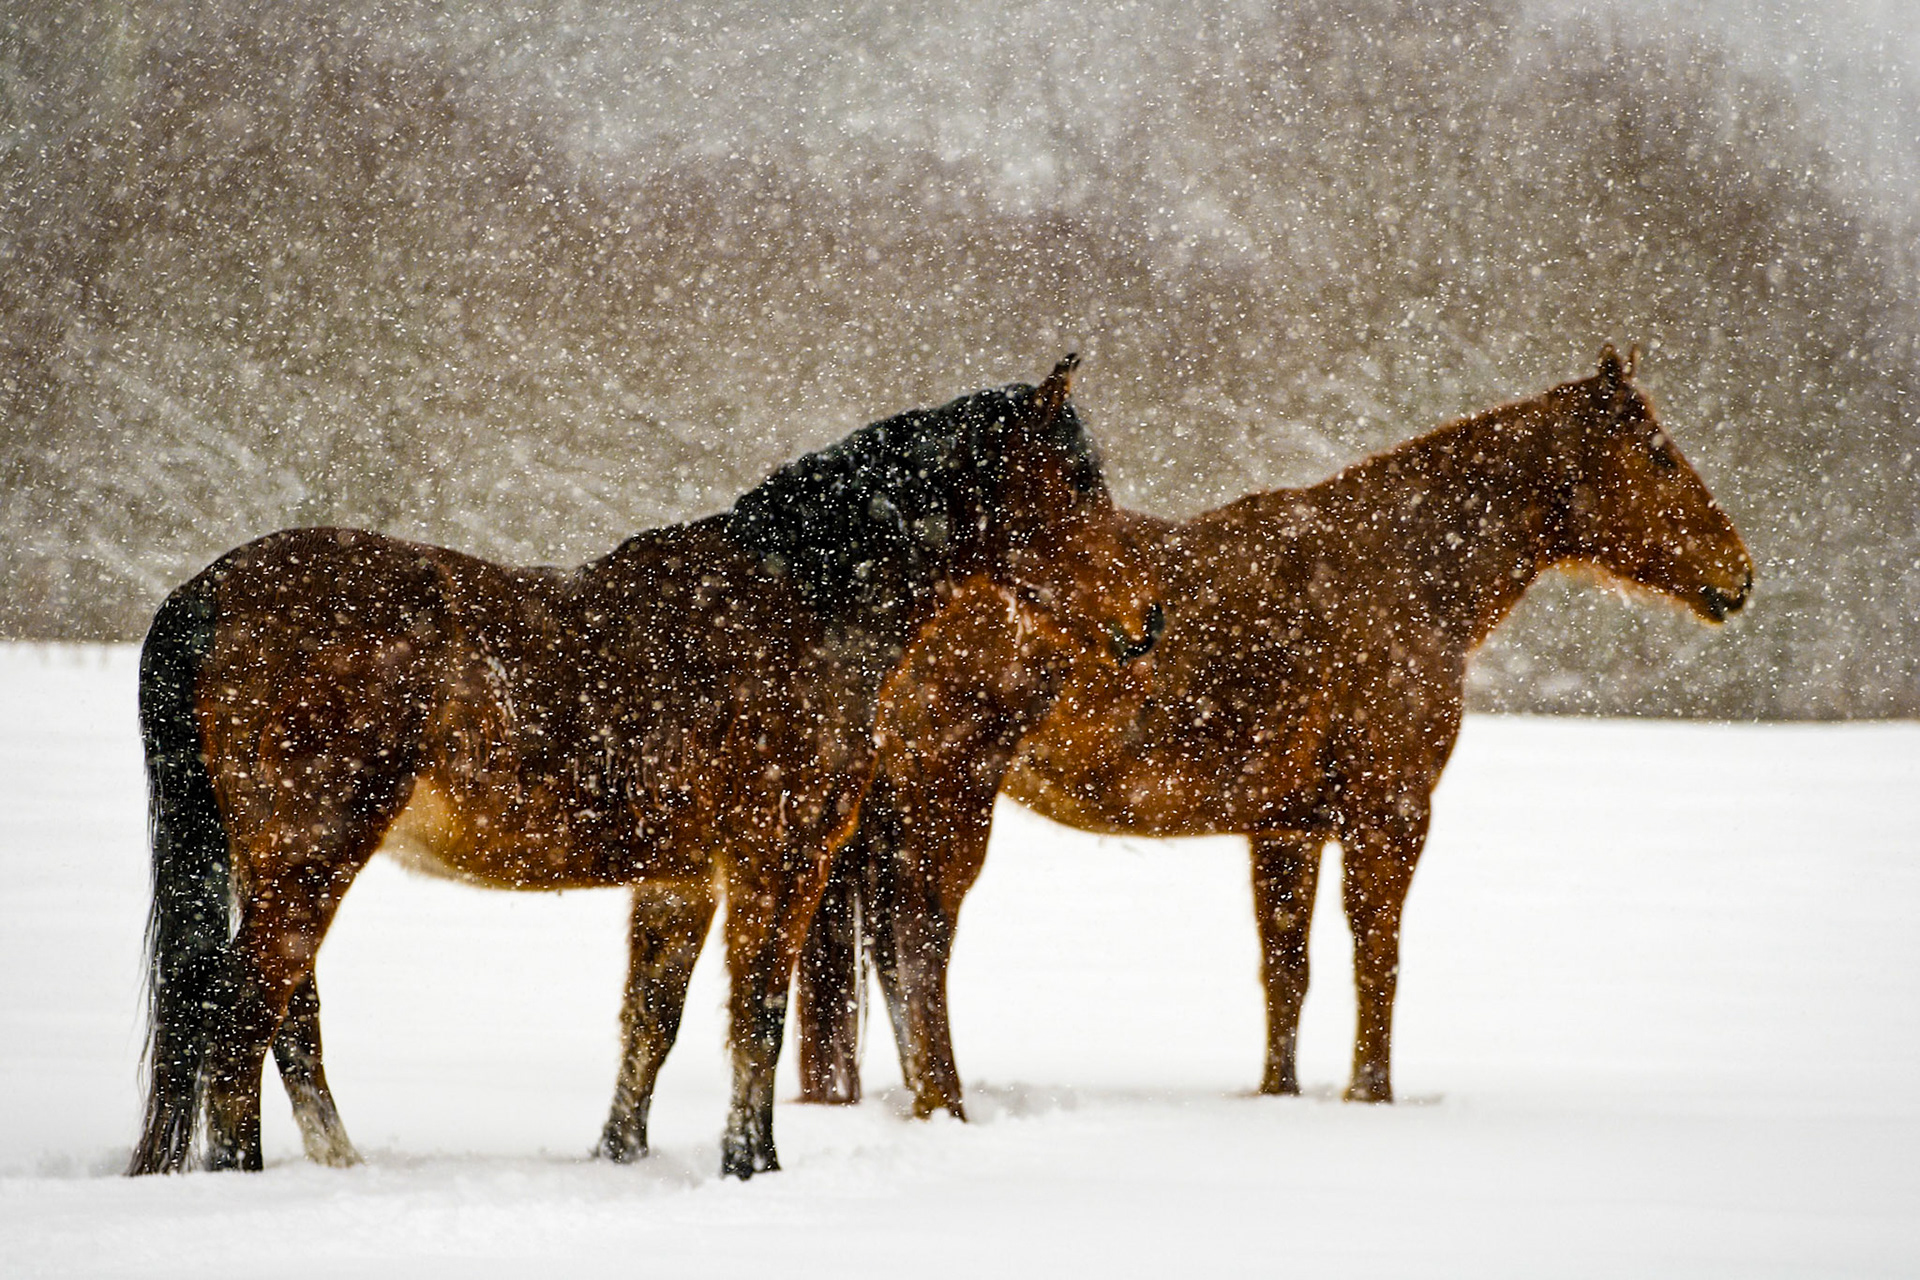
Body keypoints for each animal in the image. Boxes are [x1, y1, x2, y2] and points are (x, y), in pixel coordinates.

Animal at [125, 355, 1164, 1178]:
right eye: (1076, 482)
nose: (1147, 621)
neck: (806, 604)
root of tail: (207, 593)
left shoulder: (681, 877)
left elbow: (650, 1026)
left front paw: (619, 1159)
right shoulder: (777, 861)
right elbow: (757, 1015)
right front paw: (752, 1164)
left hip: (284, 864)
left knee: (284, 1020)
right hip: (313, 852)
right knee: (239, 1016)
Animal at [795, 346, 1754, 1115]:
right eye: (1657, 454)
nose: (1739, 576)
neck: (1402, 571)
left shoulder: (1286, 828)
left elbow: (1287, 971)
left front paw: (1278, 1099)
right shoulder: (1388, 814)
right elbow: (1377, 957)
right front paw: (1371, 1097)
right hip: (946, 792)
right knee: (917, 942)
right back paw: (945, 1103)